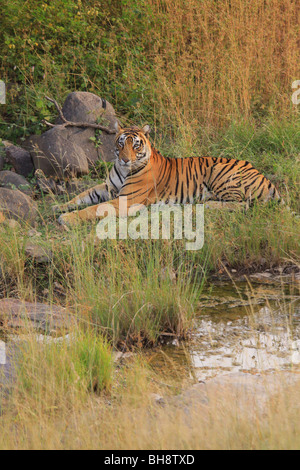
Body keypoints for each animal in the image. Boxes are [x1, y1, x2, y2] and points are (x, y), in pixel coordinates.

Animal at [55, 123, 282, 226]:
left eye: (136, 145)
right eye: (120, 143)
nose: (125, 159)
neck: (124, 170)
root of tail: (263, 176)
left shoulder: (126, 200)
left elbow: (92, 209)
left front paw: (66, 218)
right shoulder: (109, 187)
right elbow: (84, 196)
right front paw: (60, 206)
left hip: (219, 171)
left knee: (244, 204)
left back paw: (208, 203)